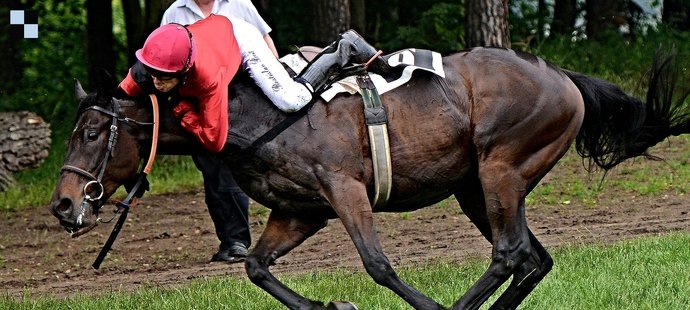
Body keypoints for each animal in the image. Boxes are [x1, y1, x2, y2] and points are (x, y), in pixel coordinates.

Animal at [49, 46, 688, 310]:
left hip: (500, 169)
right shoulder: (300, 210)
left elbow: (378, 265)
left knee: (511, 254)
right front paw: (329, 306)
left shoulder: (346, 190)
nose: (61, 203)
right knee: (533, 259)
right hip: (475, 188)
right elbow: (257, 267)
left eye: (91, 131)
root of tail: (563, 76)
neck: (260, 114)